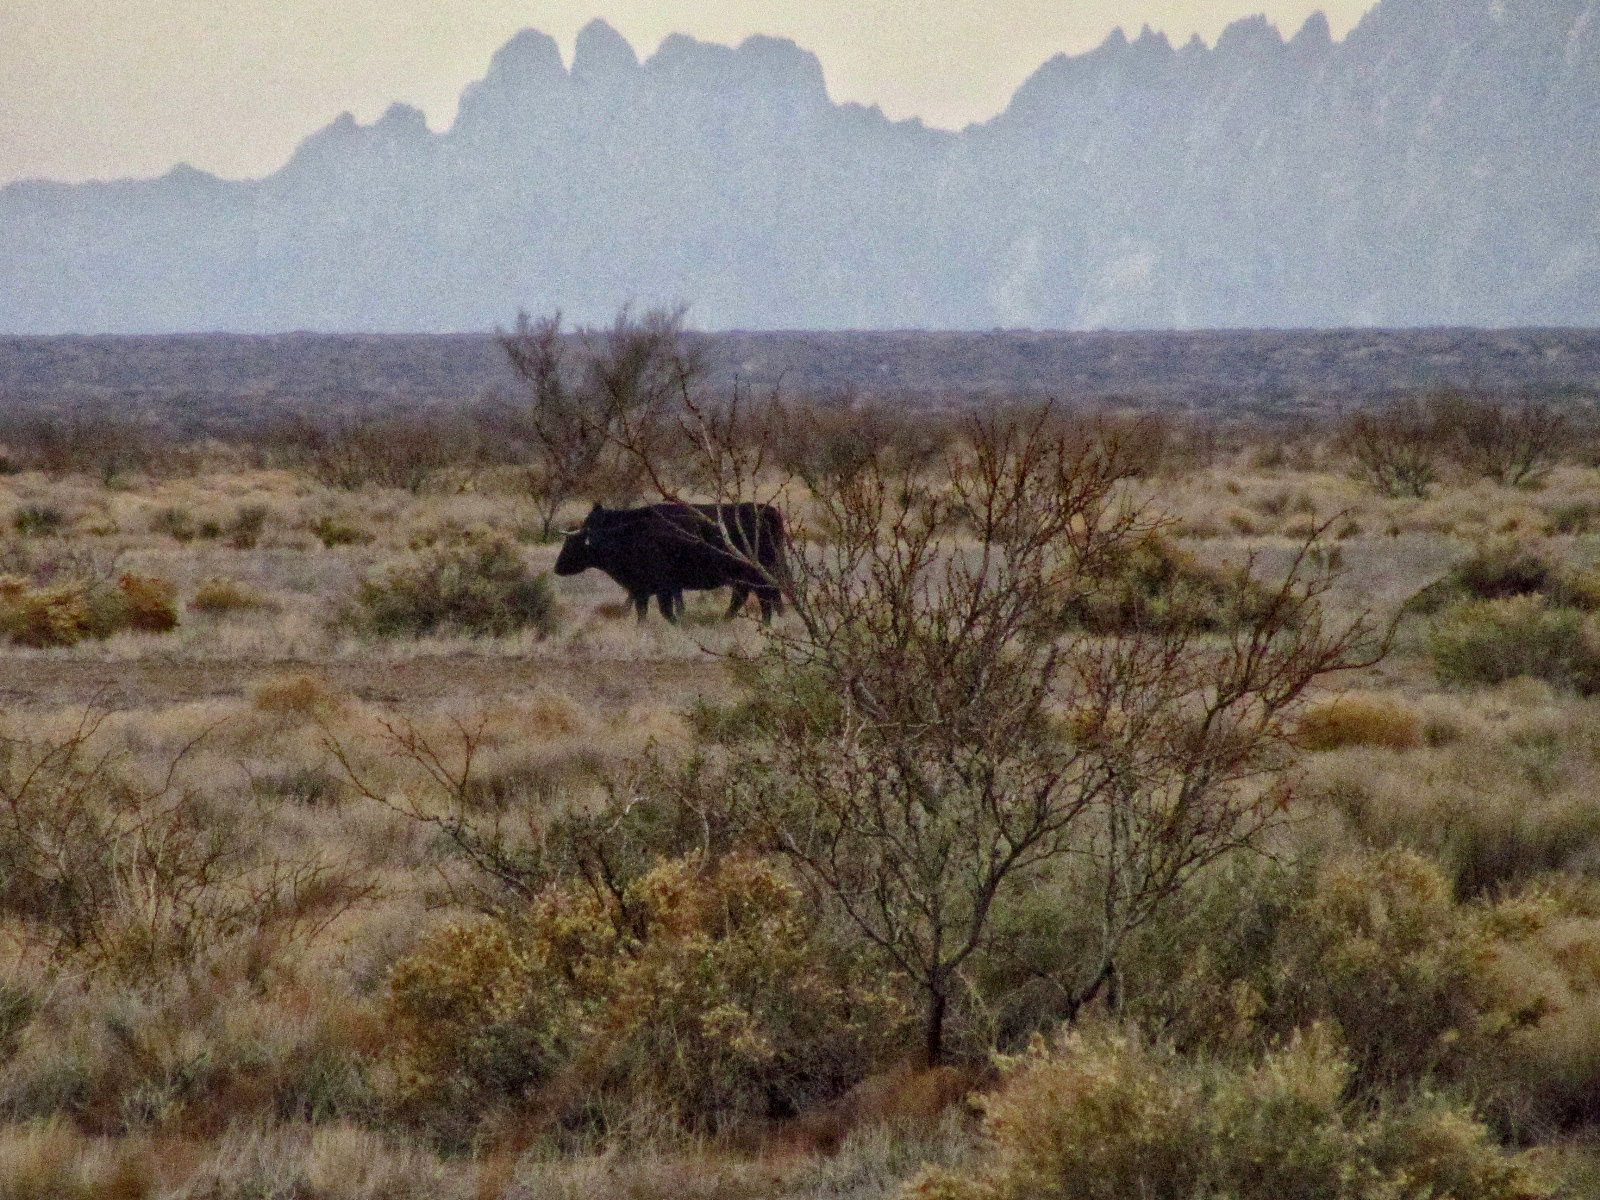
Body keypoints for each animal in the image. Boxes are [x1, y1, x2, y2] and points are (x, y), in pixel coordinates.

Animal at [553, 502, 790, 624]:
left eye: (572, 543)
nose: (557, 568)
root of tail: (766, 510)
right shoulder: (642, 589)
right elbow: (643, 612)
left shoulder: (664, 587)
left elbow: (668, 610)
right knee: (747, 598)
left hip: (757, 575)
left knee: (764, 598)